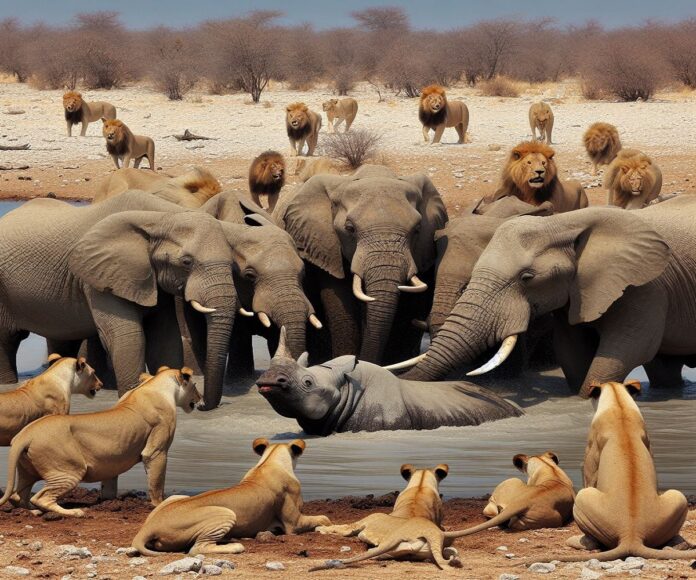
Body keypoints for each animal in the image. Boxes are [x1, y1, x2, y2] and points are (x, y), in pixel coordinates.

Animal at [0, 366, 200, 517]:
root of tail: (25, 435)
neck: (153, 386)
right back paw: (74, 512)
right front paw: (159, 504)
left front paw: (109, 502)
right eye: (195, 385)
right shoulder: (156, 451)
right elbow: (157, 482)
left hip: (28, 471)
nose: (200, 398)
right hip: (69, 470)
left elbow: (110, 482)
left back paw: (32, 512)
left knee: (18, 496)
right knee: (41, 497)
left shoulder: (112, 459)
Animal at [130, 438, 330, 556]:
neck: (269, 461)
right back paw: (234, 545)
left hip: (176, 497)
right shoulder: (293, 524)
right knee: (197, 549)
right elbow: (324, 518)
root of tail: (148, 528)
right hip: (226, 514)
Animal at [397, 196, 696, 395]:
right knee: (663, 369)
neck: (563, 224)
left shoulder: (645, 286)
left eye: (527, 278)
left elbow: (627, 349)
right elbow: (572, 353)